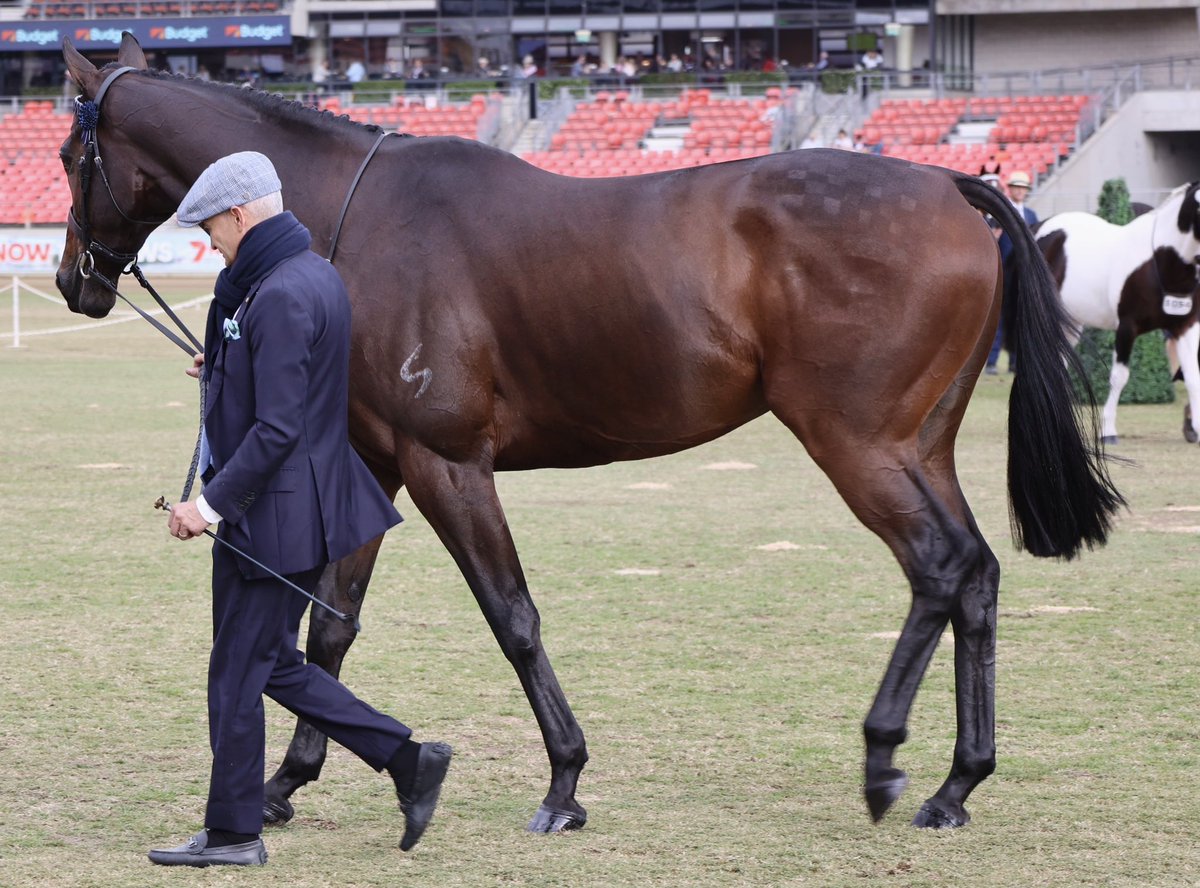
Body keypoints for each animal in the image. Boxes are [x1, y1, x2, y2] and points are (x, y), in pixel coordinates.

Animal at [56, 34, 1123, 835]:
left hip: (857, 445)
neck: (356, 218)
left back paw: (885, 761)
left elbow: (512, 617)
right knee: (976, 575)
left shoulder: (449, 465)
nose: (75, 281)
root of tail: (950, 186)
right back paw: (957, 783)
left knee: (940, 569)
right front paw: (288, 782)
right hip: (918, 447)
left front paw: (564, 783)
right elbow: (332, 623)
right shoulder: (373, 463)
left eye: (70, 157)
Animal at [1032, 181, 1200, 444]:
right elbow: (1119, 377)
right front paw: (1108, 431)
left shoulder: (1186, 327)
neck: (1161, 261)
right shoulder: (1127, 327)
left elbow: (1193, 377)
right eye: (1199, 206)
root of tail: (1041, 227)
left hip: (1071, 322)